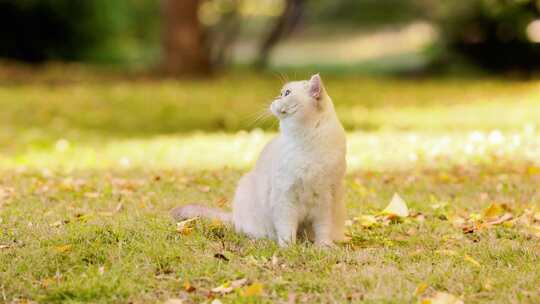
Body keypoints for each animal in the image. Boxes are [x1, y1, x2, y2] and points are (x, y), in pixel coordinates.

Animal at [171, 74, 348, 247]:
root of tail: (234, 216)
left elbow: (323, 230)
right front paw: (288, 249)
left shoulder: (325, 200)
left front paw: (323, 248)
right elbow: (287, 231)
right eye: (282, 92)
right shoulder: (285, 199)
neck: (306, 141)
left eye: (287, 93)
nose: (276, 97)